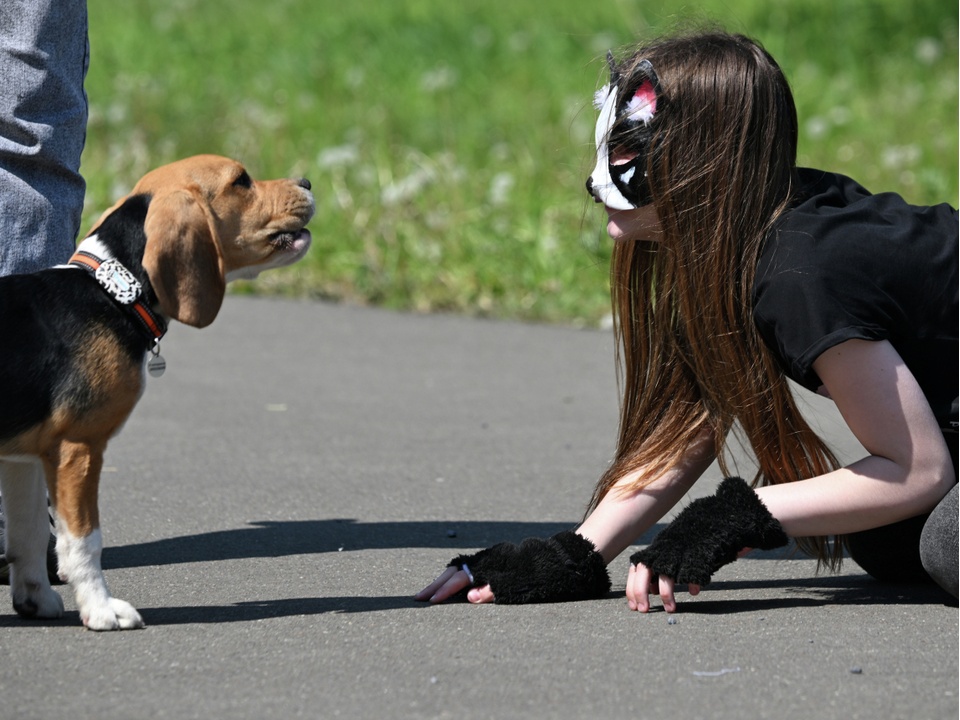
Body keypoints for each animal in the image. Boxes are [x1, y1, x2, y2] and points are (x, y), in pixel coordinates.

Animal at [0, 155, 316, 628]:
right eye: (241, 180)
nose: (308, 182)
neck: (111, 290)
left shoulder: (25, 458)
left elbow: (30, 532)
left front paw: (36, 598)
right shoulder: (78, 447)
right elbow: (84, 541)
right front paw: (100, 608)